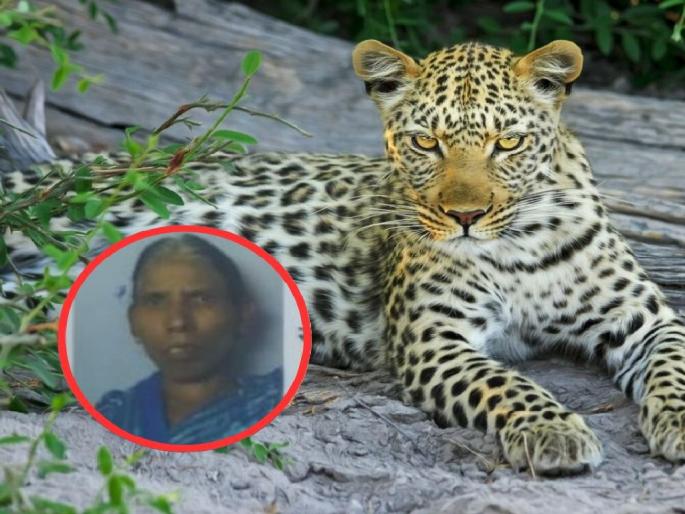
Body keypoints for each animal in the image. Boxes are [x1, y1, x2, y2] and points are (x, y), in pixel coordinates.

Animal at [3, 39, 685, 475]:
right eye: (426, 143)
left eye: (508, 143)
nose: (465, 216)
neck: (519, 243)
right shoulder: (433, 341)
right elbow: (507, 382)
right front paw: (555, 430)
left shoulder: (646, 319)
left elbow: (675, 365)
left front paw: (675, 425)